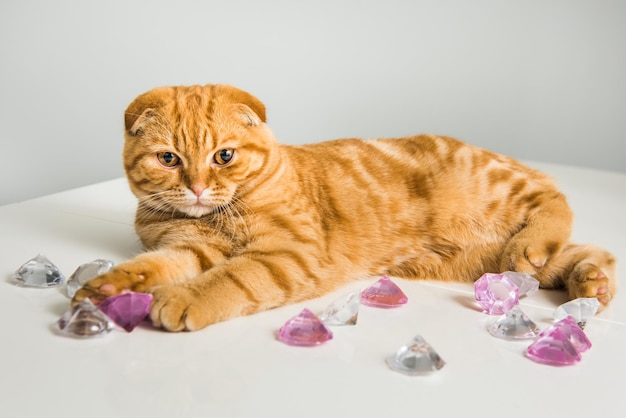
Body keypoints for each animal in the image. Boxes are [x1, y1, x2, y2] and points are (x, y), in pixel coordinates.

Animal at [73, 85, 616, 332]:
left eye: (223, 156)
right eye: (169, 159)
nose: (199, 187)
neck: (215, 216)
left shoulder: (288, 254)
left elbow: (230, 279)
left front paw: (185, 299)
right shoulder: (189, 249)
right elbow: (153, 266)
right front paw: (109, 287)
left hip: (501, 189)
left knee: (552, 200)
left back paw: (540, 245)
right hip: (489, 262)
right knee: (583, 253)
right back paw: (592, 282)